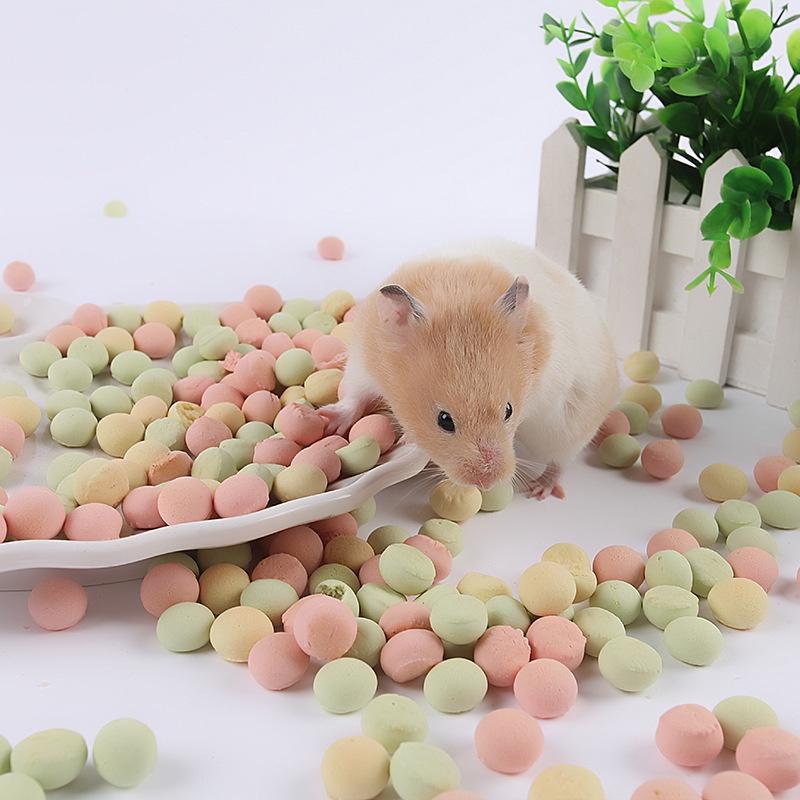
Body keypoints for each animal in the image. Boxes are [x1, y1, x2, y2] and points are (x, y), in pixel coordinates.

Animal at [321, 238, 619, 499]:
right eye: (444, 420)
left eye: (509, 411)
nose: (487, 483)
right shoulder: (364, 361)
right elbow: (353, 397)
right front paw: (326, 421)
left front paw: (405, 439)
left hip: (570, 425)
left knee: (561, 460)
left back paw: (540, 489)